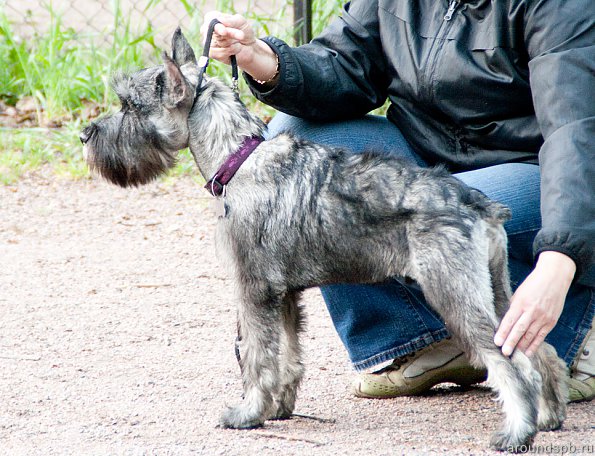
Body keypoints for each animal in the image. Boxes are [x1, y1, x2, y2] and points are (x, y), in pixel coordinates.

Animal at [80, 29, 568, 452]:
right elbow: (288, 357)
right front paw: (279, 408)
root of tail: (477, 205)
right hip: (498, 291)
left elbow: (256, 357)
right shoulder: (285, 296)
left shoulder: (254, 292)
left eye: (130, 106)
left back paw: (516, 433)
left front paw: (248, 412)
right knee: (538, 350)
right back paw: (548, 417)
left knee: (509, 364)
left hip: (453, 294)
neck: (238, 156)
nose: (85, 134)